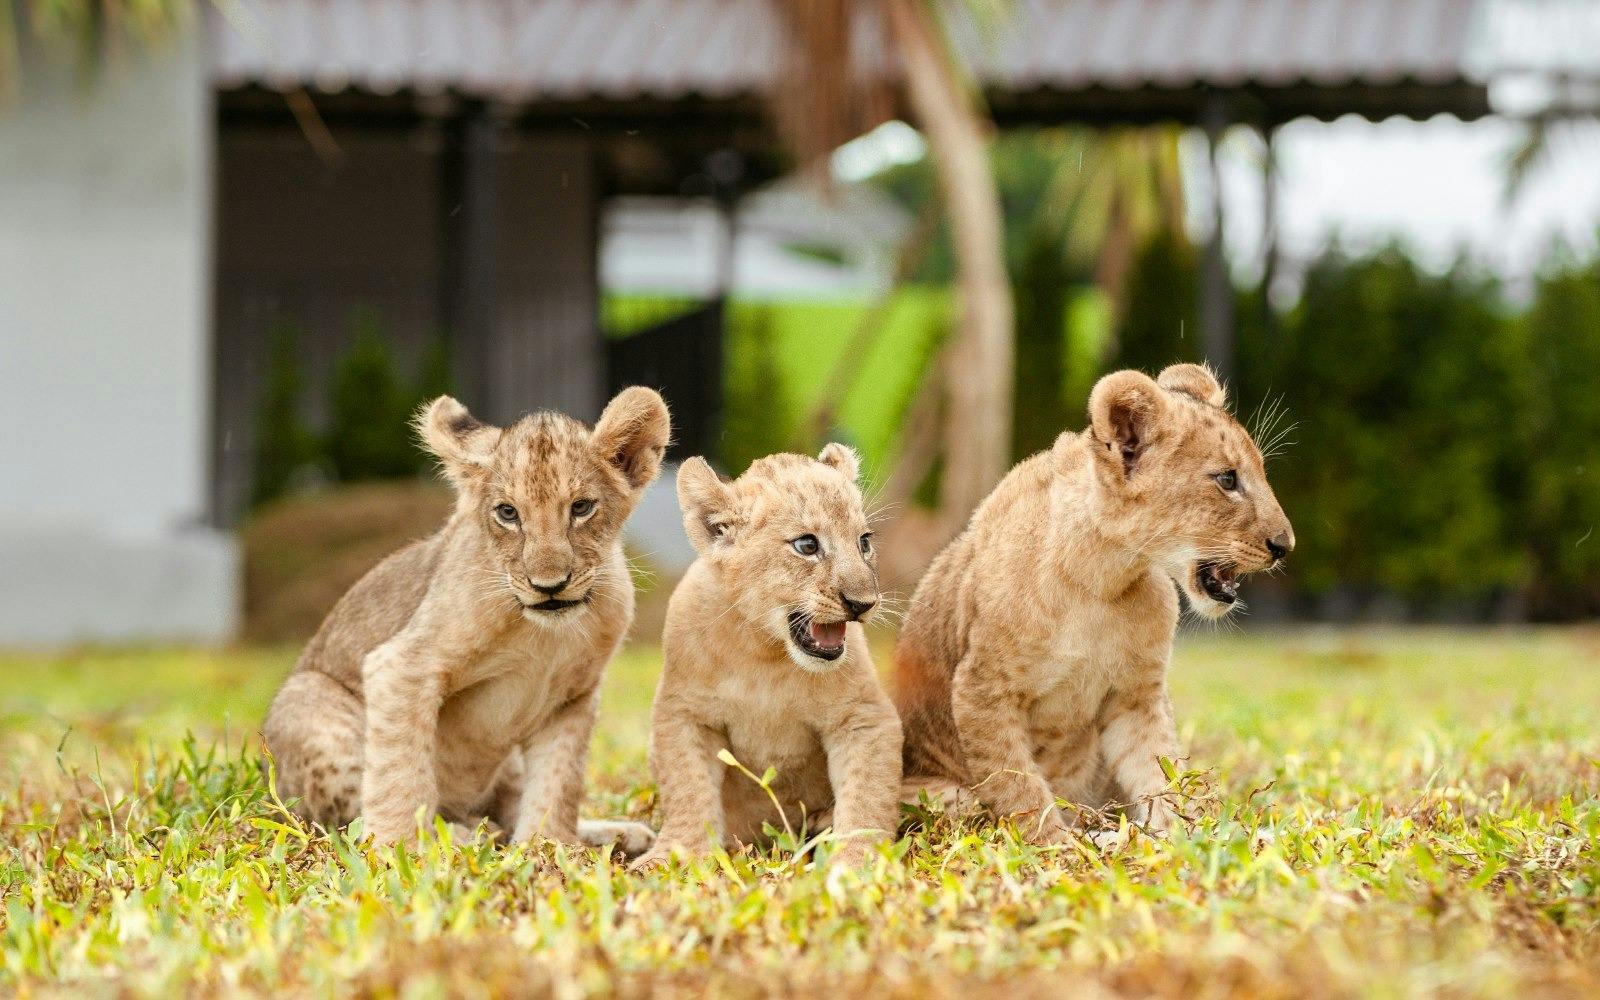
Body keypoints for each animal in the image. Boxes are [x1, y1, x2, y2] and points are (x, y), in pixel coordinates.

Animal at [261, 387, 670, 854]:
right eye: (508, 513)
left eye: (581, 508)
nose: (549, 586)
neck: (545, 635)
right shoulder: (402, 666)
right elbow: (399, 773)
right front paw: (397, 849)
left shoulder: (572, 697)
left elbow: (557, 782)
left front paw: (547, 848)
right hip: (307, 701)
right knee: (349, 819)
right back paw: (460, 835)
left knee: (509, 810)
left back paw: (613, 833)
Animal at [631, 445, 903, 870]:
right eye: (807, 545)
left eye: (864, 542)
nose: (863, 604)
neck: (765, 651)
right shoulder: (684, 713)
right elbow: (687, 789)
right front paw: (674, 855)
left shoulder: (863, 716)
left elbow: (867, 797)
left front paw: (858, 863)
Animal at [895, 364, 1293, 842]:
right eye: (1228, 480)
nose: (1285, 545)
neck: (1101, 577)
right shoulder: (982, 692)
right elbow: (1020, 787)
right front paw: (1057, 845)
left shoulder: (1136, 695)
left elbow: (1159, 771)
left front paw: (1185, 836)